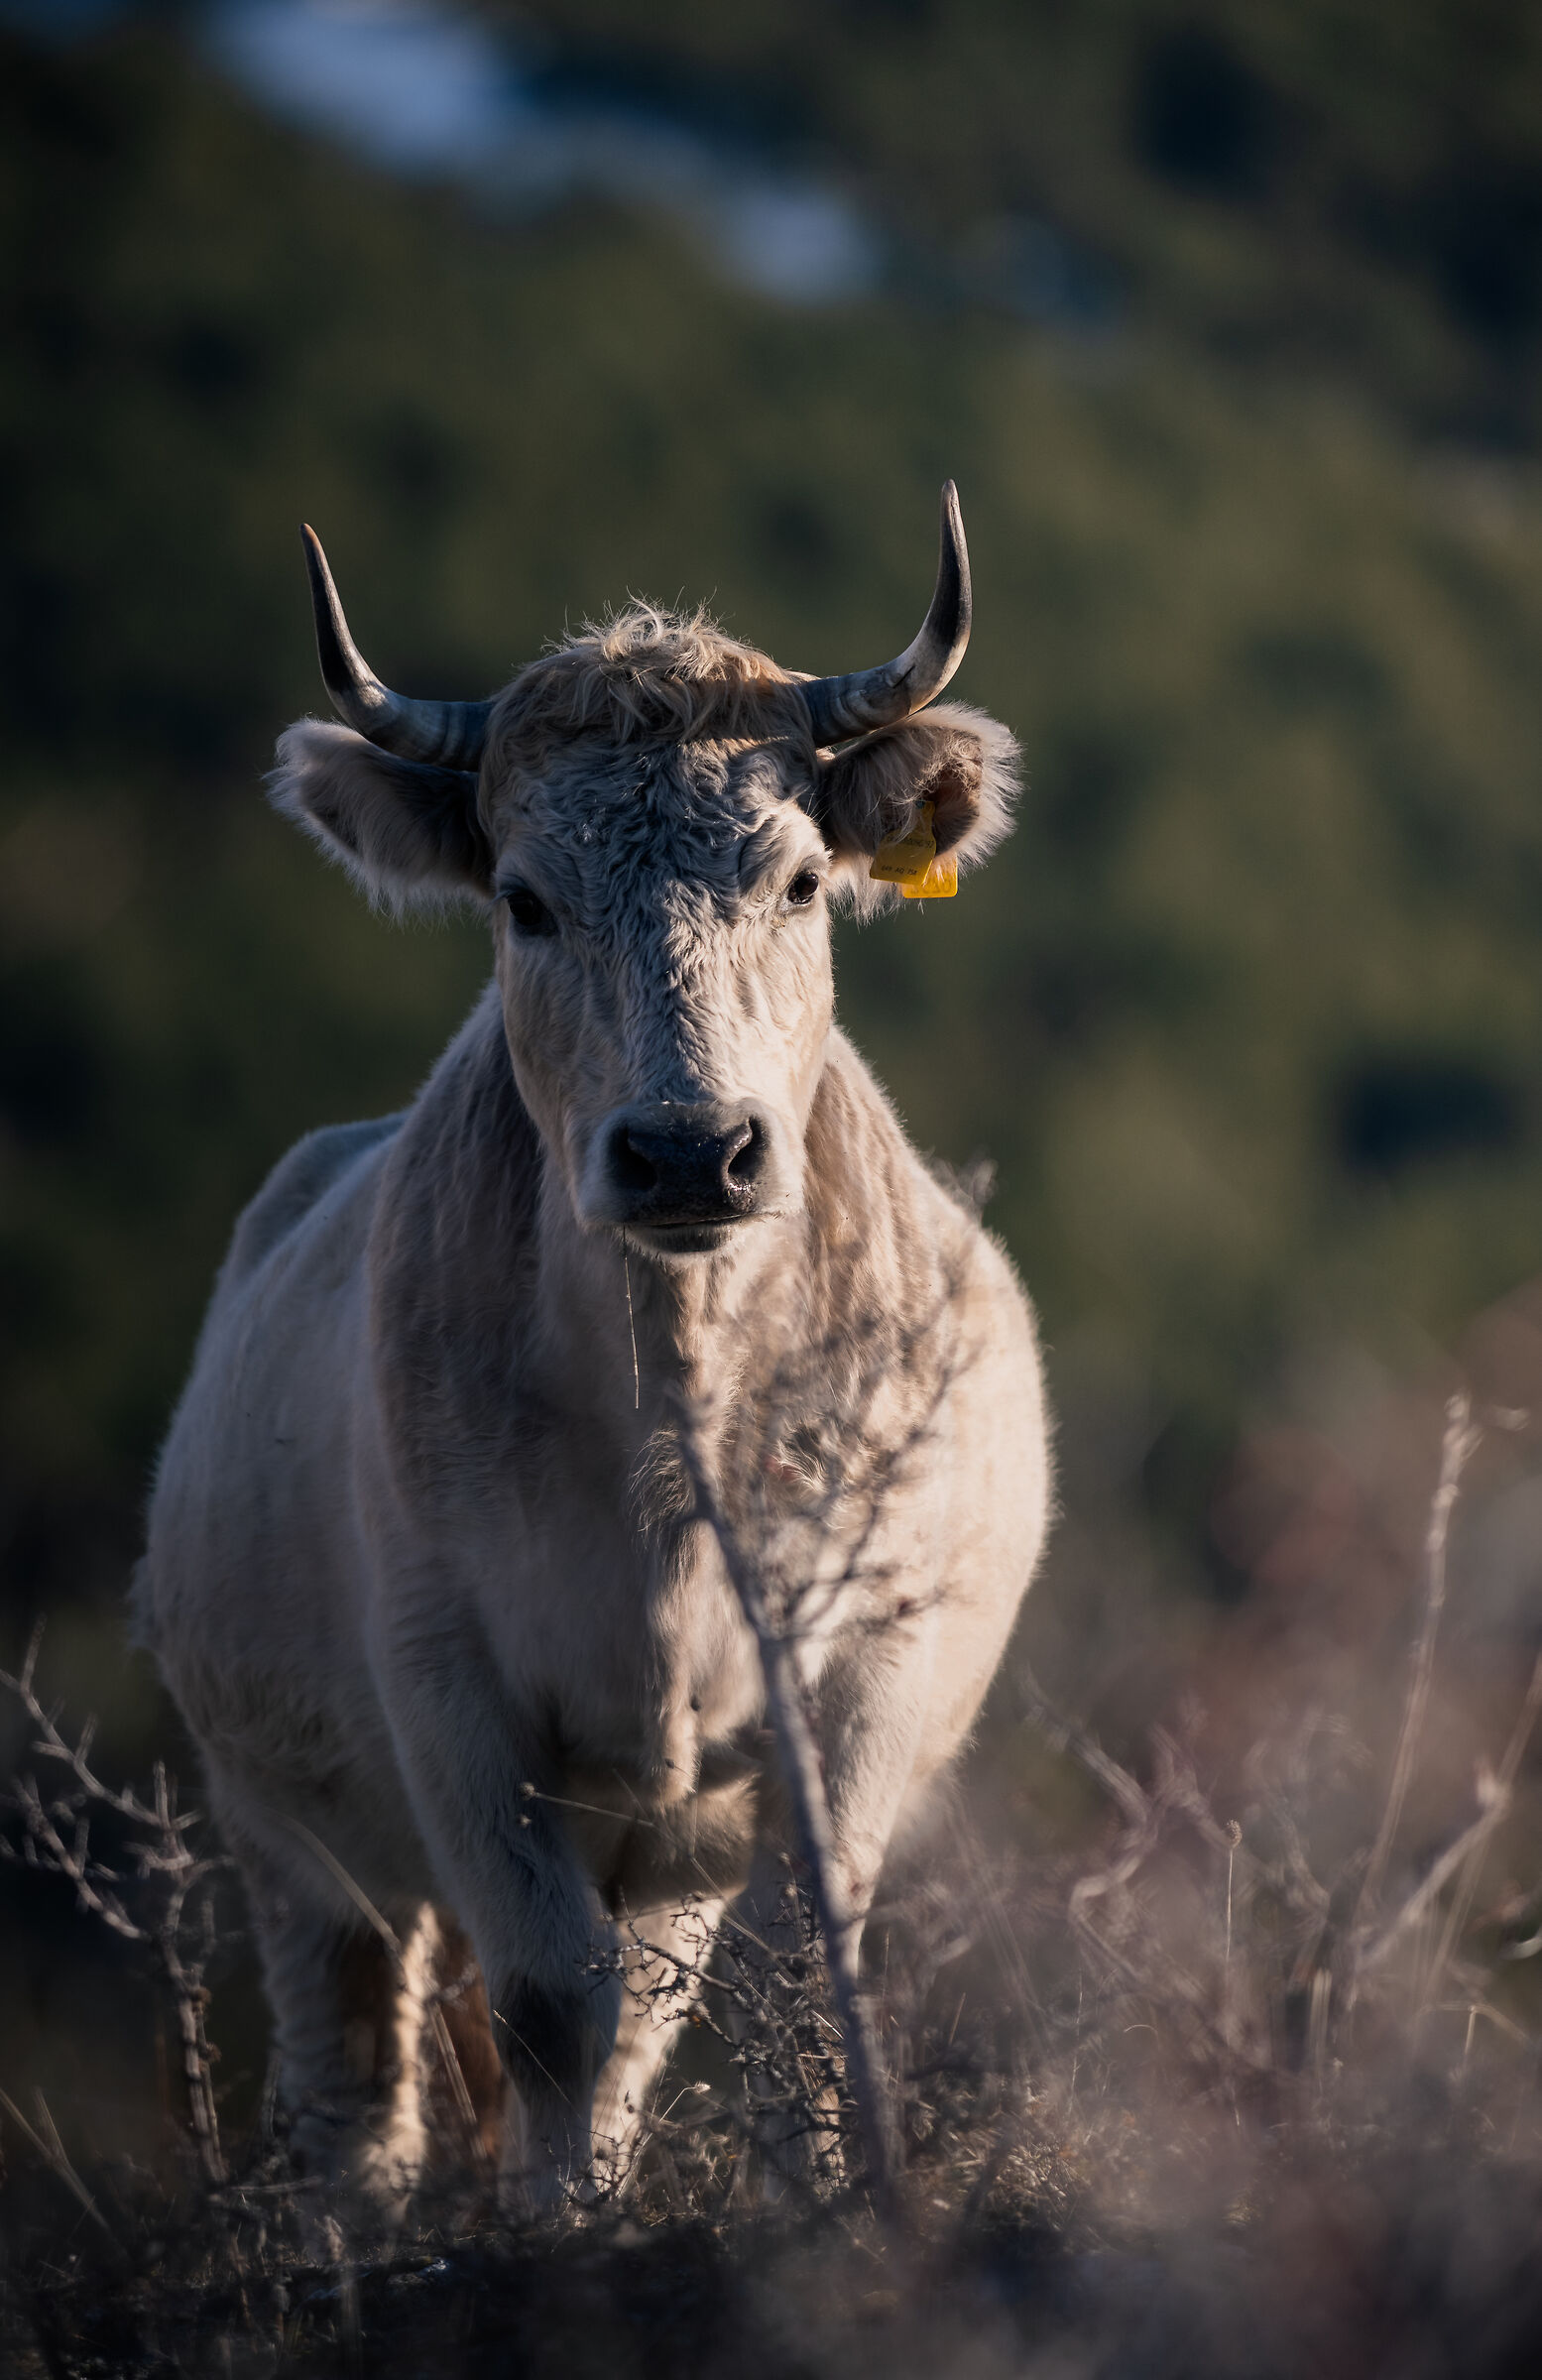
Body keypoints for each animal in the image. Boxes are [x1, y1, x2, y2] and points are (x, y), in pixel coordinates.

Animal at [135, 486, 1052, 2215]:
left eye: (799, 883)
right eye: (523, 899)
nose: (690, 1151)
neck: (673, 1410)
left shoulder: (866, 1664)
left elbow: (789, 1977)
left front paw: (817, 2218)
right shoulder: (448, 1689)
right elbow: (549, 2005)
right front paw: (554, 2235)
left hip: (661, 1840)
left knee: (645, 2024)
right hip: (291, 1835)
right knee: (356, 2093)